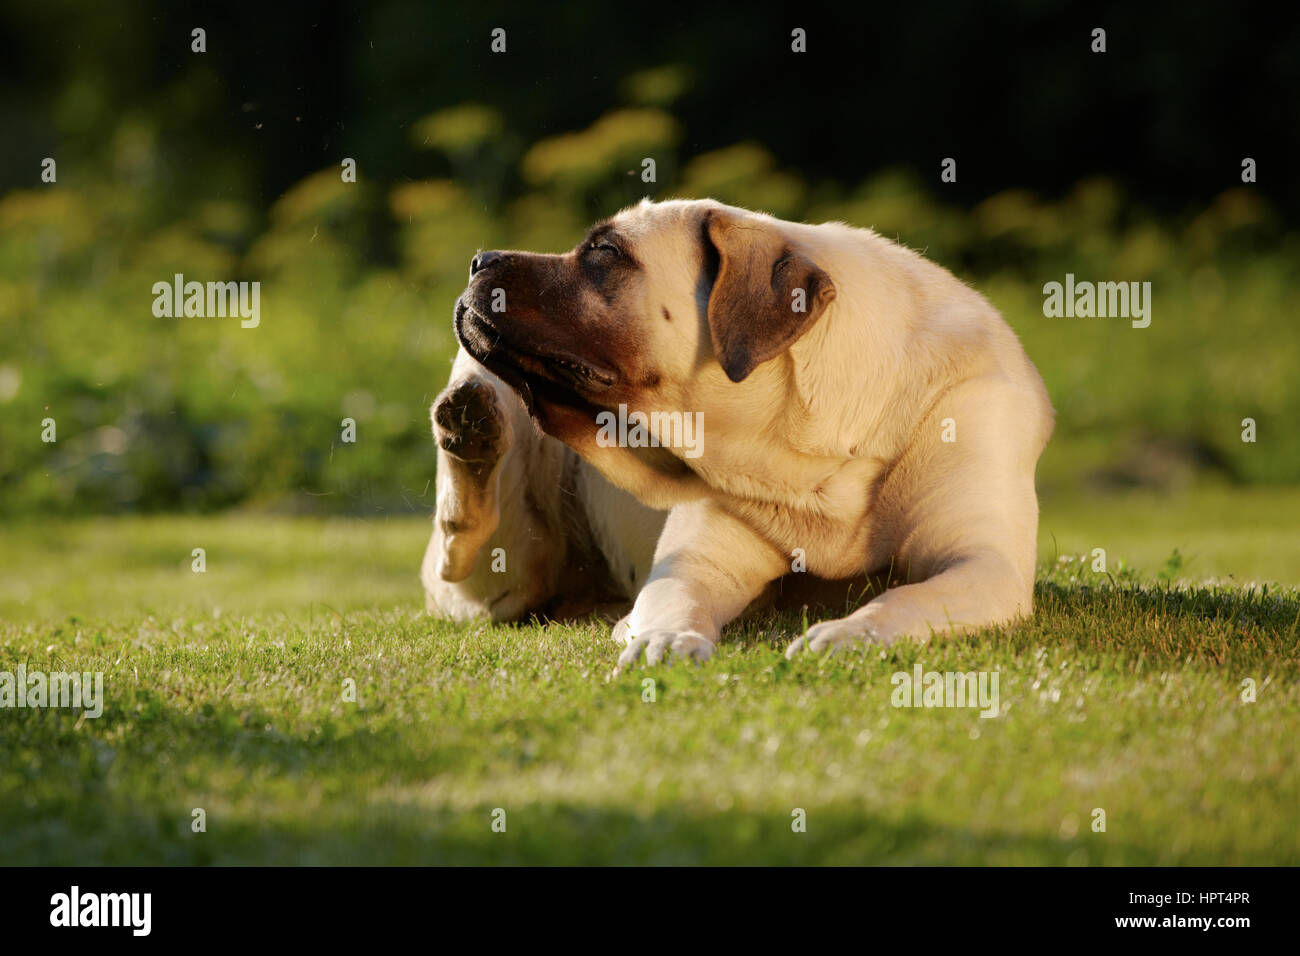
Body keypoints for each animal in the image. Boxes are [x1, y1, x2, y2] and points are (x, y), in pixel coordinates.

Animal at [426, 199, 1055, 671]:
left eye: (605, 252)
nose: (479, 259)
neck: (814, 454)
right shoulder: (696, 565)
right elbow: (674, 600)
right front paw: (663, 638)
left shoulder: (983, 564)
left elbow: (902, 598)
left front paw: (849, 634)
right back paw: (470, 430)